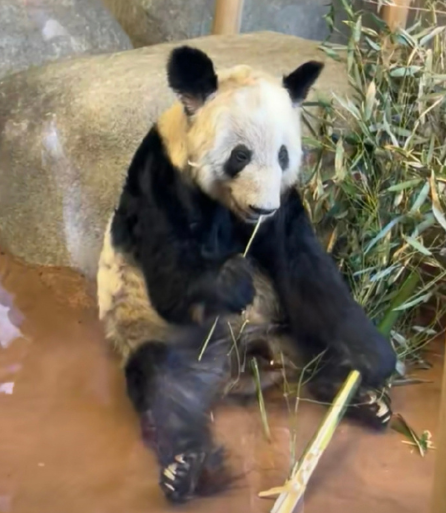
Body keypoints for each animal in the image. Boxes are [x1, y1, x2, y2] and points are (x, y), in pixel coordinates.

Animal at [96, 46, 394, 502]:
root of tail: (241, 367)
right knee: (164, 386)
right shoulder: (160, 182)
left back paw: (355, 394)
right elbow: (171, 278)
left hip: (285, 326)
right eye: (240, 155)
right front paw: (232, 281)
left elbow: (308, 273)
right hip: (162, 335)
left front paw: (372, 357)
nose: (262, 207)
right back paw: (185, 468)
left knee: (317, 344)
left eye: (285, 155)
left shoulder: (285, 210)